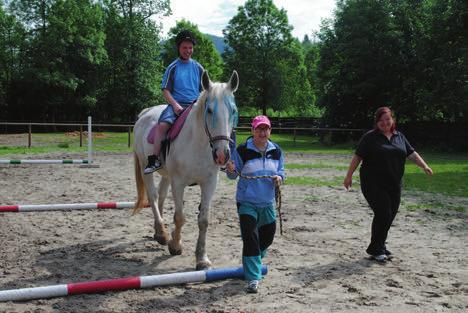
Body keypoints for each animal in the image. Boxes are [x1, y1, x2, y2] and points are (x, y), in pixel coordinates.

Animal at [133, 70, 239, 268]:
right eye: (209, 110)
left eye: (234, 111)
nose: (222, 154)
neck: (198, 143)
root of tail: (146, 113)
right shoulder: (179, 182)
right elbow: (180, 217)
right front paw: (175, 246)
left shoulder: (209, 183)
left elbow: (203, 220)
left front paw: (202, 258)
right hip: (146, 168)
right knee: (153, 196)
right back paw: (162, 234)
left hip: (166, 175)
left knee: (161, 196)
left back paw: (160, 232)